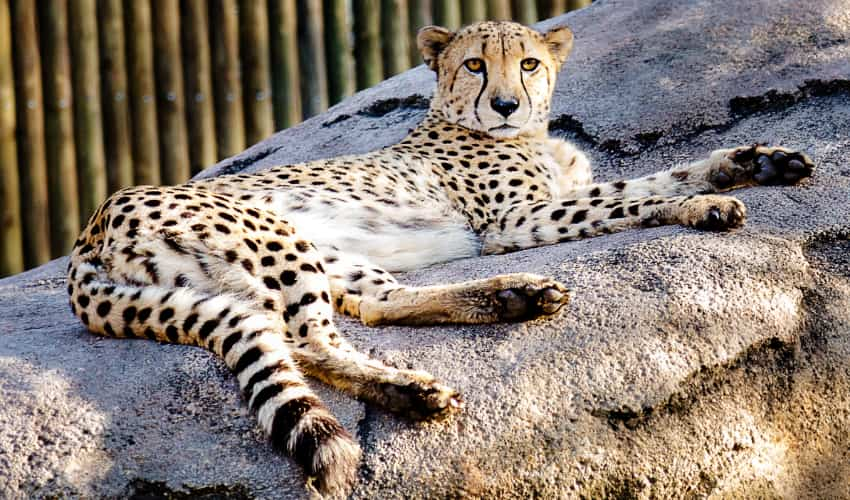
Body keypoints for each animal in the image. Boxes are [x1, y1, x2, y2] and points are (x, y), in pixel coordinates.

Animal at [64, 20, 808, 496]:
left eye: (529, 63)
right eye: (475, 63)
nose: (505, 103)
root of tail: (90, 229)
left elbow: (652, 179)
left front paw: (754, 162)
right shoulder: (510, 221)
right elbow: (629, 203)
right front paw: (700, 207)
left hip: (327, 254)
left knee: (374, 305)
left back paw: (512, 298)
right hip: (277, 237)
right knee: (304, 339)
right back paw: (414, 389)